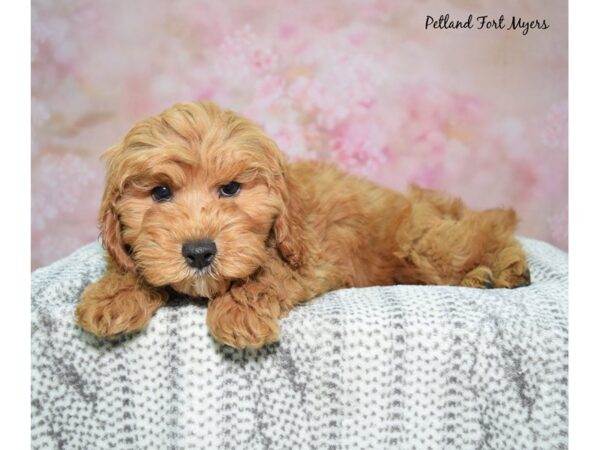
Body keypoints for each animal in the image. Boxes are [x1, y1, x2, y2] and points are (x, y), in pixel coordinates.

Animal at [76, 101, 528, 348]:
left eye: (231, 188)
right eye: (160, 193)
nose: (200, 252)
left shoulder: (312, 258)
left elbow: (265, 274)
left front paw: (238, 312)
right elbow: (134, 266)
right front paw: (112, 296)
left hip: (421, 241)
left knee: (483, 229)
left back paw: (505, 268)